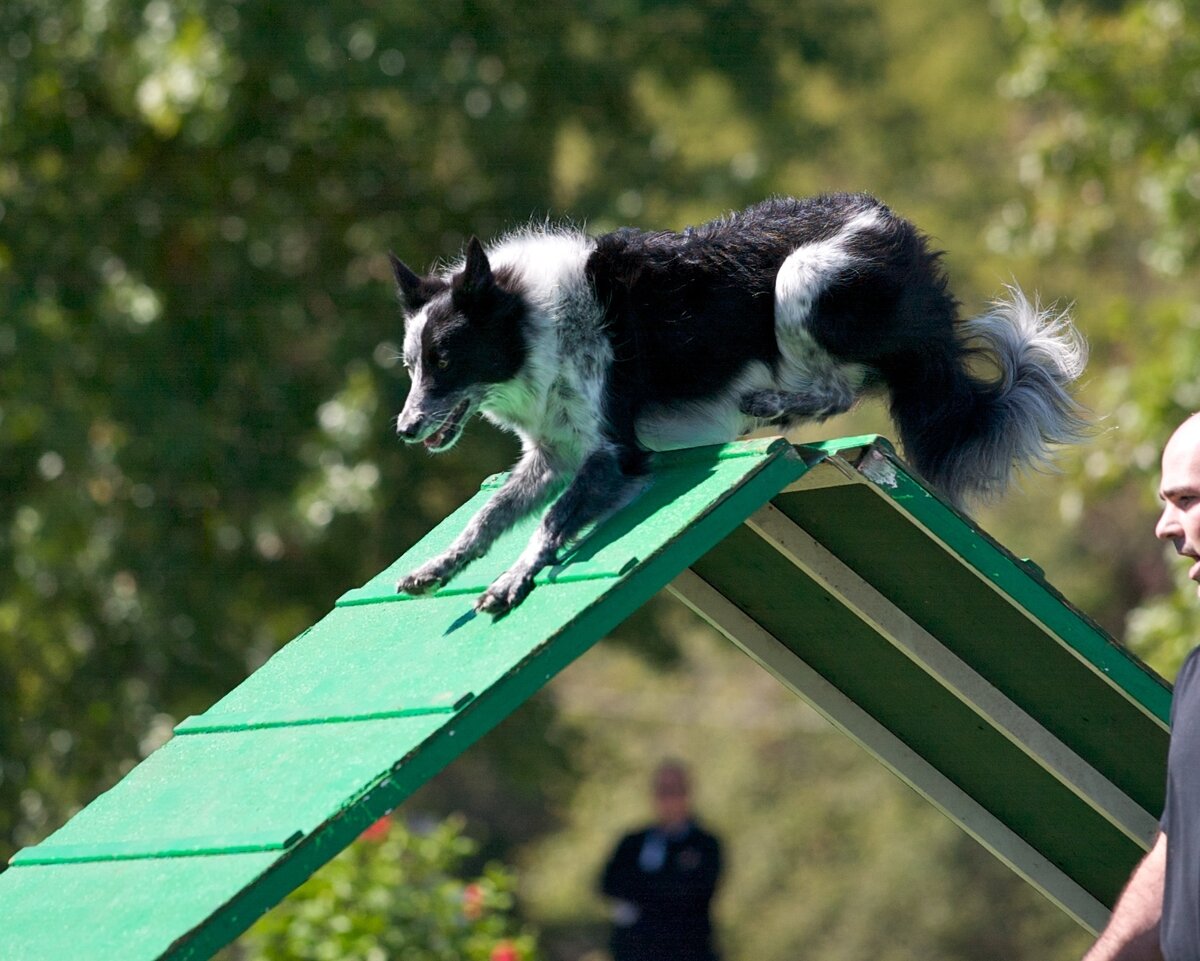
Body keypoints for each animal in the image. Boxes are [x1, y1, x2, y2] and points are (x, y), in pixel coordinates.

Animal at [386, 194, 1089, 614]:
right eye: (412, 365)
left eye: (445, 360)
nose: (404, 428)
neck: (530, 320)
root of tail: (898, 231)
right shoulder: (550, 455)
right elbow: (491, 516)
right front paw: (440, 566)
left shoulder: (615, 454)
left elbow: (552, 520)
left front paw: (513, 579)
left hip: (800, 279)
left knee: (842, 386)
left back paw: (771, 402)